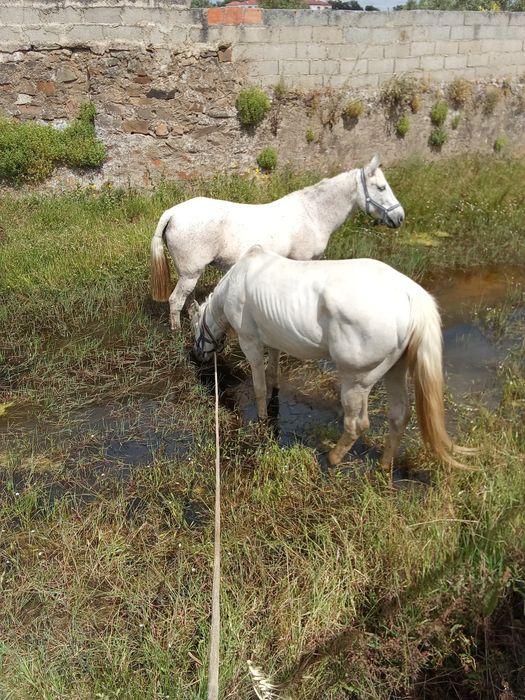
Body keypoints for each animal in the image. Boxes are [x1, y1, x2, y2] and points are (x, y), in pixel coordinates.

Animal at [151, 155, 404, 330]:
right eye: (381, 188)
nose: (399, 217)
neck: (313, 213)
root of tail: (173, 213)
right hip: (190, 273)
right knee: (175, 300)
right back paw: (176, 331)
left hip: (190, 272)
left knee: (188, 298)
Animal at [190, 246, 475, 479]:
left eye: (194, 328)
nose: (196, 358)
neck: (236, 281)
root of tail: (412, 298)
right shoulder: (274, 340)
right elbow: (272, 374)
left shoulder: (250, 342)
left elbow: (259, 386)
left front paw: (261, 421)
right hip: (395, 370)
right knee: (399, 415)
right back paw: (383, 465)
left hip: (356, 381)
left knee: (357, 424)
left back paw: (332, 458)